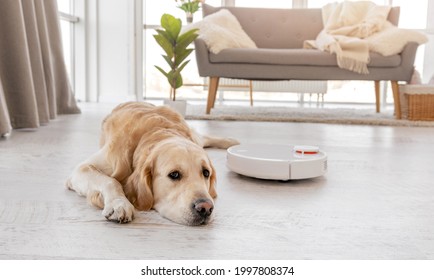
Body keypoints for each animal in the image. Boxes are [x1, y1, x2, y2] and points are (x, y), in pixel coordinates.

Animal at [66, 101, 239, 226]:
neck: (154, 132)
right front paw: (119, 204)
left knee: (204, 137)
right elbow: (110, 181)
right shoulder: (80, 170)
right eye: (174, 174)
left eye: (206, 173)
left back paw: (231, 141)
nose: (206, 208)